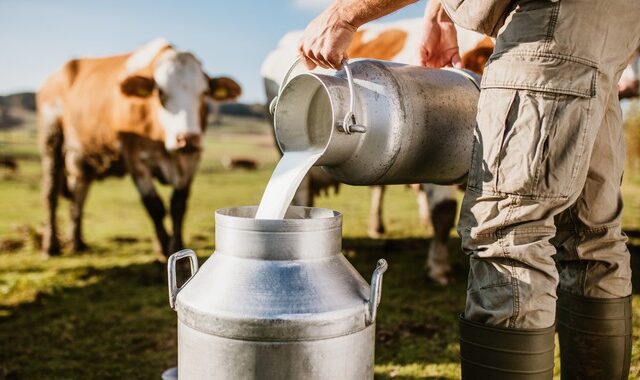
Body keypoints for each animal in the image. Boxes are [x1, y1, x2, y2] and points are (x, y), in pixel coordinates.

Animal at [38, 38, 242, 258]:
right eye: (160, 92)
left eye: (204, 93)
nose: (187, 138)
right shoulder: (136, 159)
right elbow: (154, 206)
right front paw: (163, 248)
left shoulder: (191, 160)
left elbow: (178, 205)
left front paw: (177, 245)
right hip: (52, 139)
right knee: (50, 194)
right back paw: (51, 245)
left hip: (82, 157)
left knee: (79, 195)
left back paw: (77, 242)